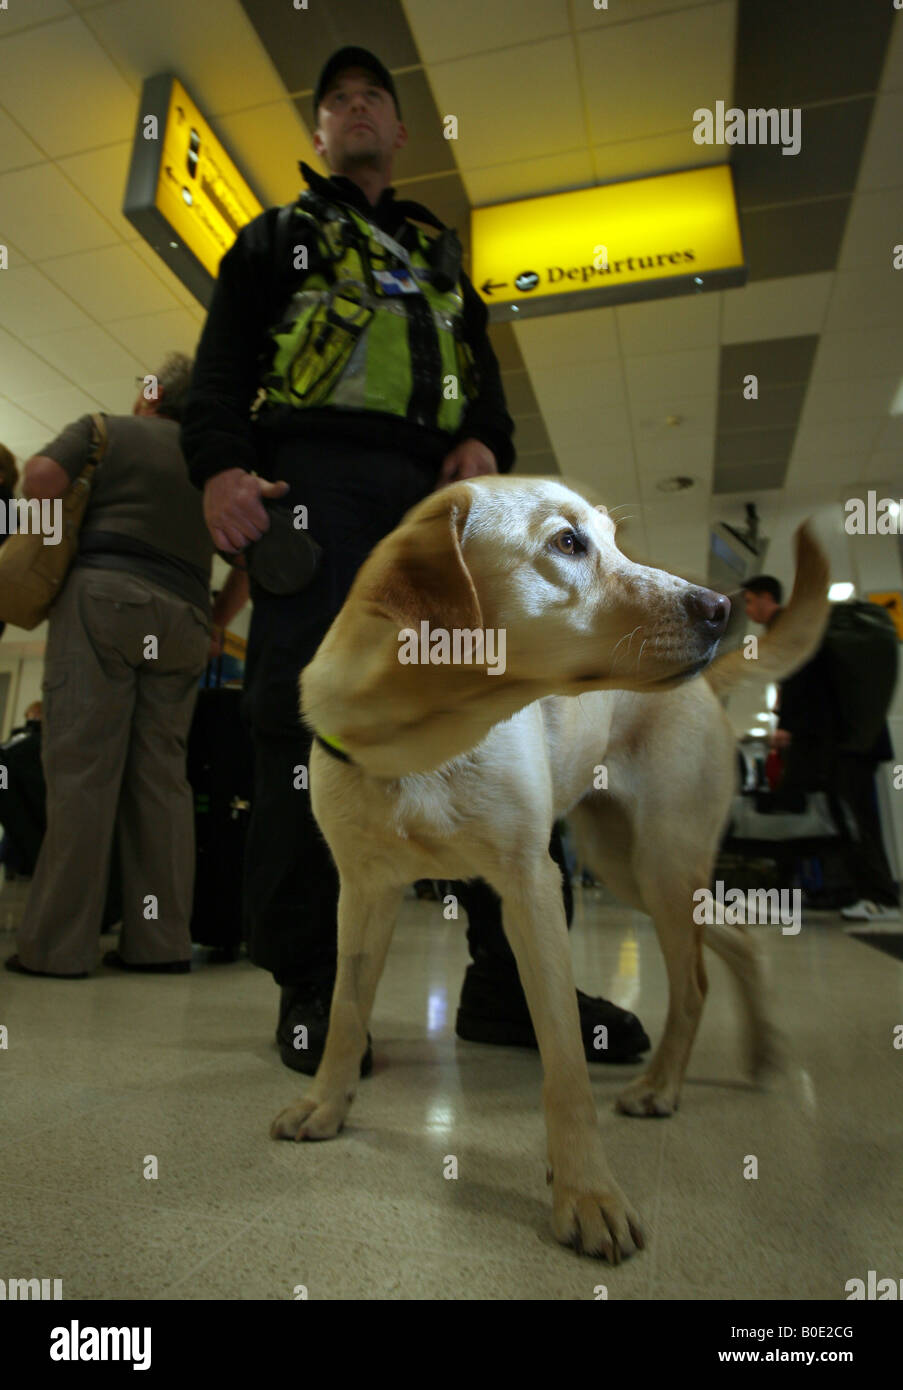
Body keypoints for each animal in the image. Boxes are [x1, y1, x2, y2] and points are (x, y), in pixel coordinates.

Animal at [270, 475, 827, 1262]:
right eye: (567, 543)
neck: (424, 736)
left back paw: (663, 1087)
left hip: (660, 863)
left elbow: (565, 1064)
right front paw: (326, 1104)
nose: (721, 609)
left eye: (612, 540)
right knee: (736, 939)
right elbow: (348, 1014)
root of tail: (709, 684)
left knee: (693, 981)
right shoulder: (364, 890)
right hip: (628, 867)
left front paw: (587, 1193)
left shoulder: (531, 888)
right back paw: (761, 1050)